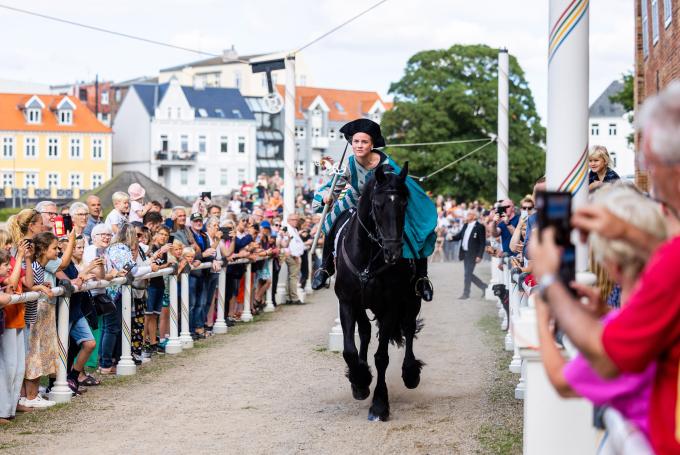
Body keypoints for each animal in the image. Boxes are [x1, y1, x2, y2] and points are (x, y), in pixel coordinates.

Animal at [334, 162, 424, 422]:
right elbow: (349, 350)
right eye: (377, 204)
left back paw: (410, 373)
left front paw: (379, 405)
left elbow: (382, 357)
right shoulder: (347, 302)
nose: (393, 252)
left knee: (409, 327)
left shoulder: (391, 305)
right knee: (364, 332)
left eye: (404, 203)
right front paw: (360, 381)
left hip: (412, 300)